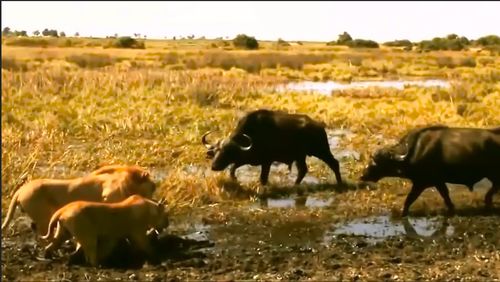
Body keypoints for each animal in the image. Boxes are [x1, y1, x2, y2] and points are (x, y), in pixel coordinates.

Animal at [41, 194, 170, 266]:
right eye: (165, 215)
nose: (167, 224)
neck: (148, 208)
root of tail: (63, 209)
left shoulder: (112, 237)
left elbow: (107, 250)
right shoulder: (139, 234)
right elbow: (148, 247)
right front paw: (158, 258)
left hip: (63, 232)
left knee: (52, 246)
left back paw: (49, 257)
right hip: (88, 236)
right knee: (90, 257)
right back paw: (97, 266)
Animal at [360, 125, 500, 216]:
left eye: (379, 162)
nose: (363, 176)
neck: (415, 151)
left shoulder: (422, 183)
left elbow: (410, 199)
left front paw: (402, 213)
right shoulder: (437, 182)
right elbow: (445, 195)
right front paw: (451, 209)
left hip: (493, 173)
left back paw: (488, 203)